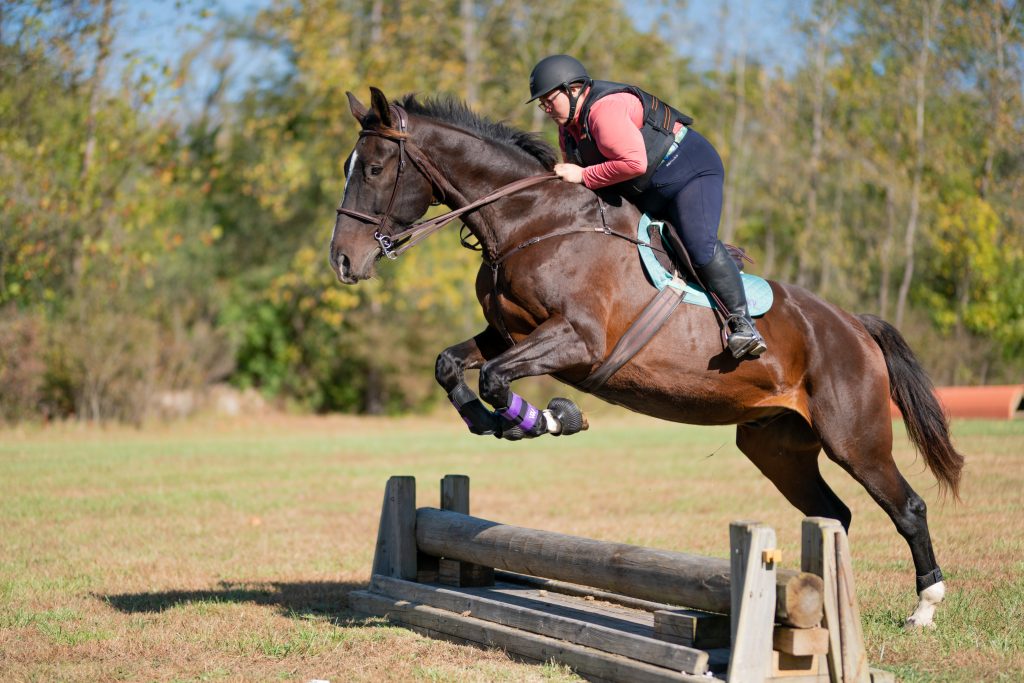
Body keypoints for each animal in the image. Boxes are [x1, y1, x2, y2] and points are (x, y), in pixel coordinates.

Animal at [328, 87, 964, 628]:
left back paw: (925, 606)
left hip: (854, 437)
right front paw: (495, 423)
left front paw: (551, 418)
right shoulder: (508, 332)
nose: (342, 261)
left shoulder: (577, 341)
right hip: (777, 447)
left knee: (907, 507)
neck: (531, 220)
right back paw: (827, 597)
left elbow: (494, 377)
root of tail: (854, 325)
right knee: (836, 516)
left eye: (376, 169)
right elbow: (453, 366)